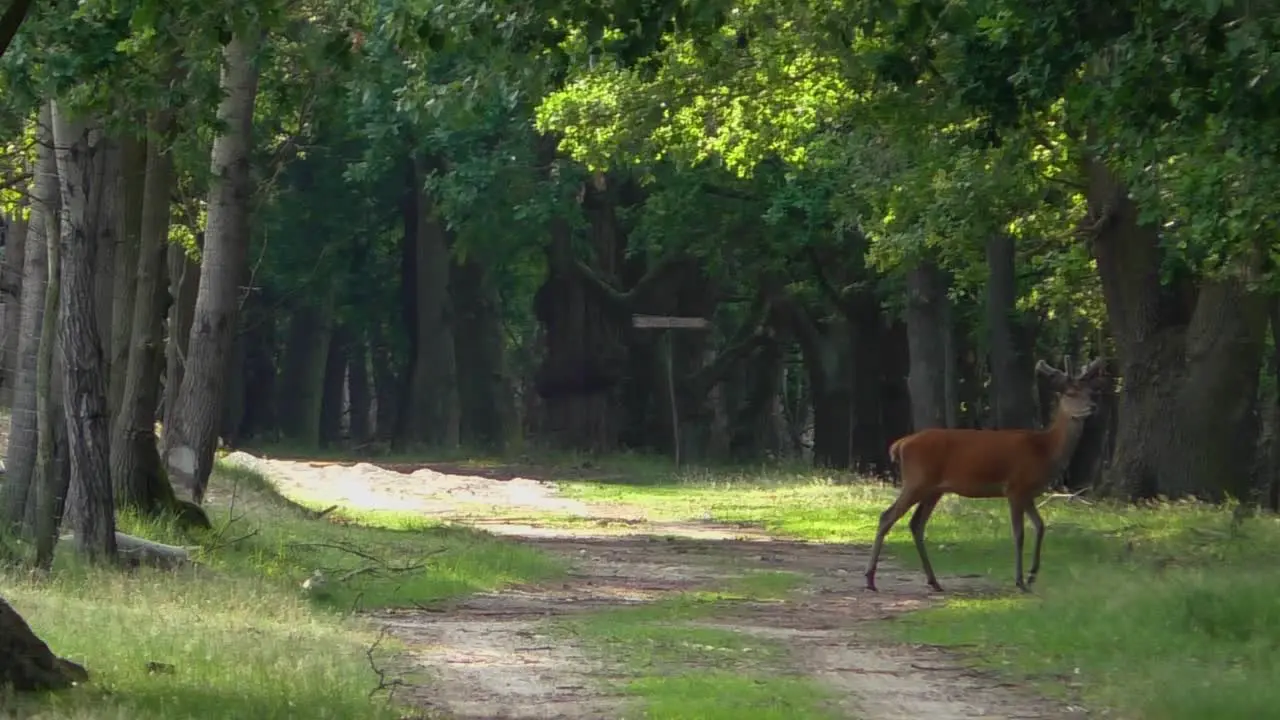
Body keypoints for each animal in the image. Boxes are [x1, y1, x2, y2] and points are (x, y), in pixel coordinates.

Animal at [865, 356, 1105, 591]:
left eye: (1090, 392)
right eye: (1071, 393)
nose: (1093, 407)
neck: (1045, 450)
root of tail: (900, 444)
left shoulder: (1028, 493)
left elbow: (1040, 527)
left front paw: (1032, 575)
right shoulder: (1015, 487)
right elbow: (1019, 534)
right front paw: (1020, 581)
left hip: (933, 489)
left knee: (916, 524)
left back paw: (933, 581)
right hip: (917, 480)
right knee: (887, 516)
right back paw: (870, 579)